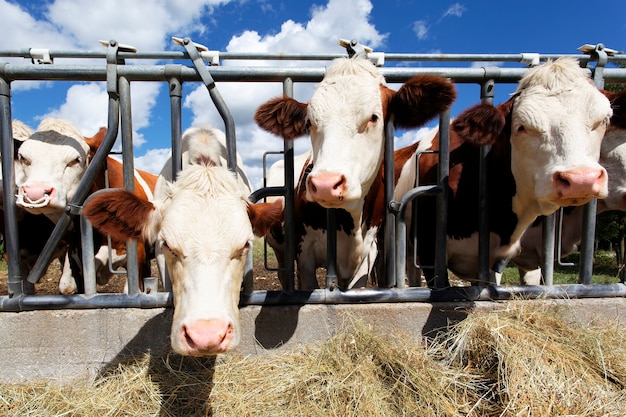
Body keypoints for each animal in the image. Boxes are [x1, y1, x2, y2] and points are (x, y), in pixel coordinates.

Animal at [254, 55, 454, 290]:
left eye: (374, 117)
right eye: (309, 122)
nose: (325, 184)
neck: (351, 224)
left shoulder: (369, 253)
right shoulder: (305, 255)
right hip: (280, 249)